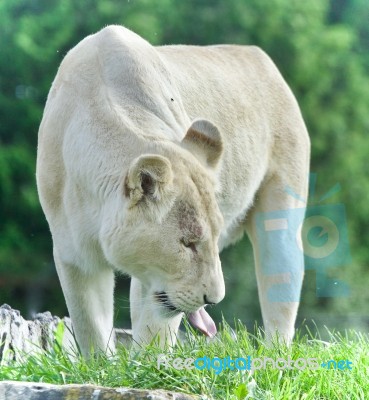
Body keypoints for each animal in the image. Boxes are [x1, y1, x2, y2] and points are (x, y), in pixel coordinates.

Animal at [36, 25, 308, 356]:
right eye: (188, 243)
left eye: (212, 240)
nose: (213, 299)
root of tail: (260, 57)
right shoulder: (74, 253)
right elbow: (91, 327)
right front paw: (101, 365)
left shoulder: (156, 281)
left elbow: (155, 329)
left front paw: (147, 364)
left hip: (282, 219)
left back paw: (275, 355)